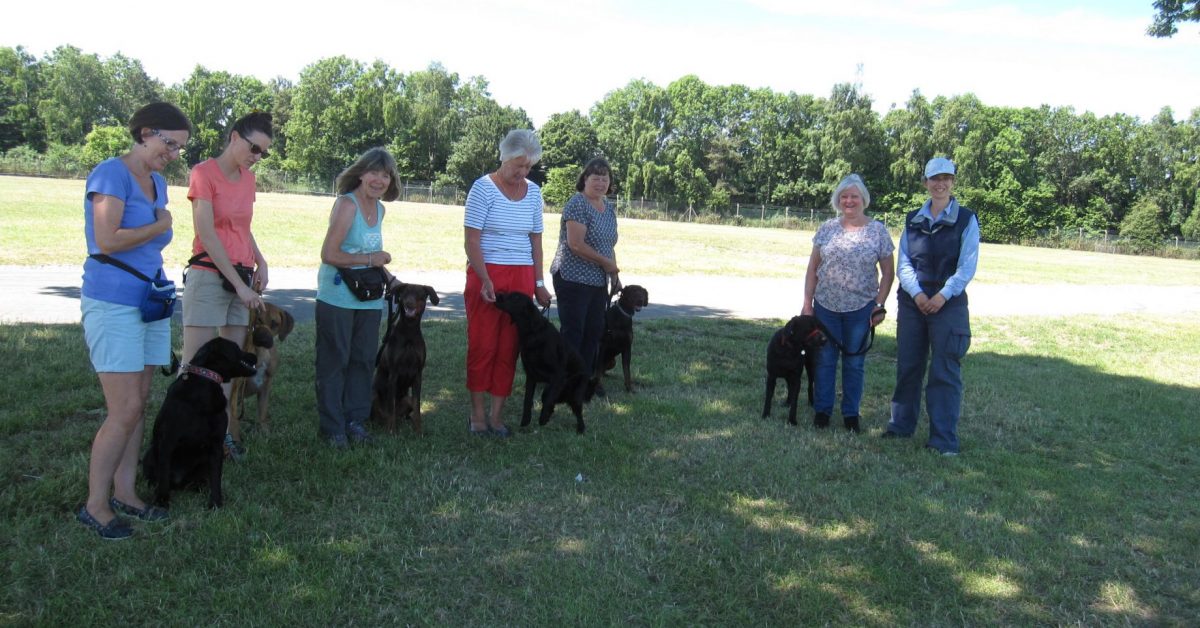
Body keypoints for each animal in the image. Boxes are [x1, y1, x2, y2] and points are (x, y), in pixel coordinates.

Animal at [229, 302, 295, 439]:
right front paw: (235, 439)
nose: (263, 339)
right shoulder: (236, 389)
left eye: (275, 324)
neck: (262, 352)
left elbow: (263, 412)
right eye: (258, 320)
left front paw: (264, 432)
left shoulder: (266, 384)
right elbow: (233, 421)